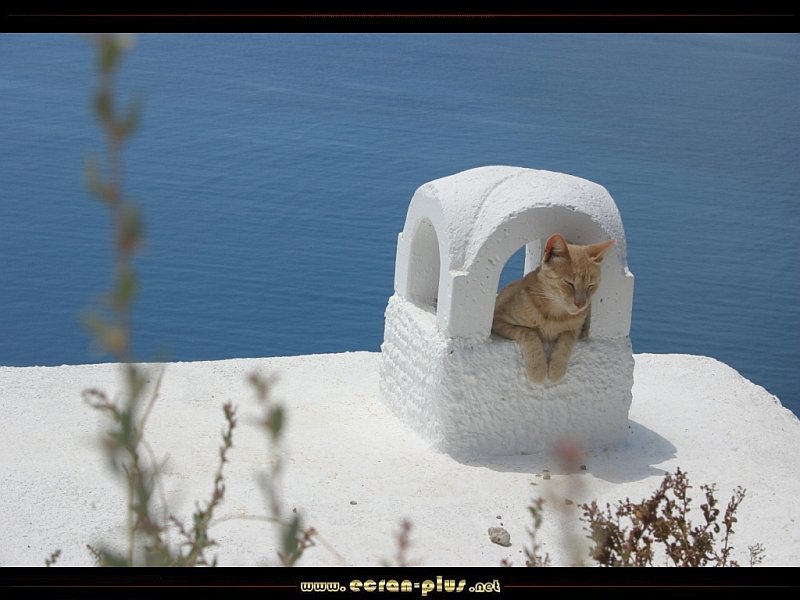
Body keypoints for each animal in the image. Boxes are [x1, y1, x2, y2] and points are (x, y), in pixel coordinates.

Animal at [492, 233, 615, 384]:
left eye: (591, 285)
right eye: (569, 283)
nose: (581, 304)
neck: (555, 314)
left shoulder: (576, 329)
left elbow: (566, 340)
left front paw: (557, 369)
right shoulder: (498, 321)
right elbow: (528, 333)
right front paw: (537, 370)